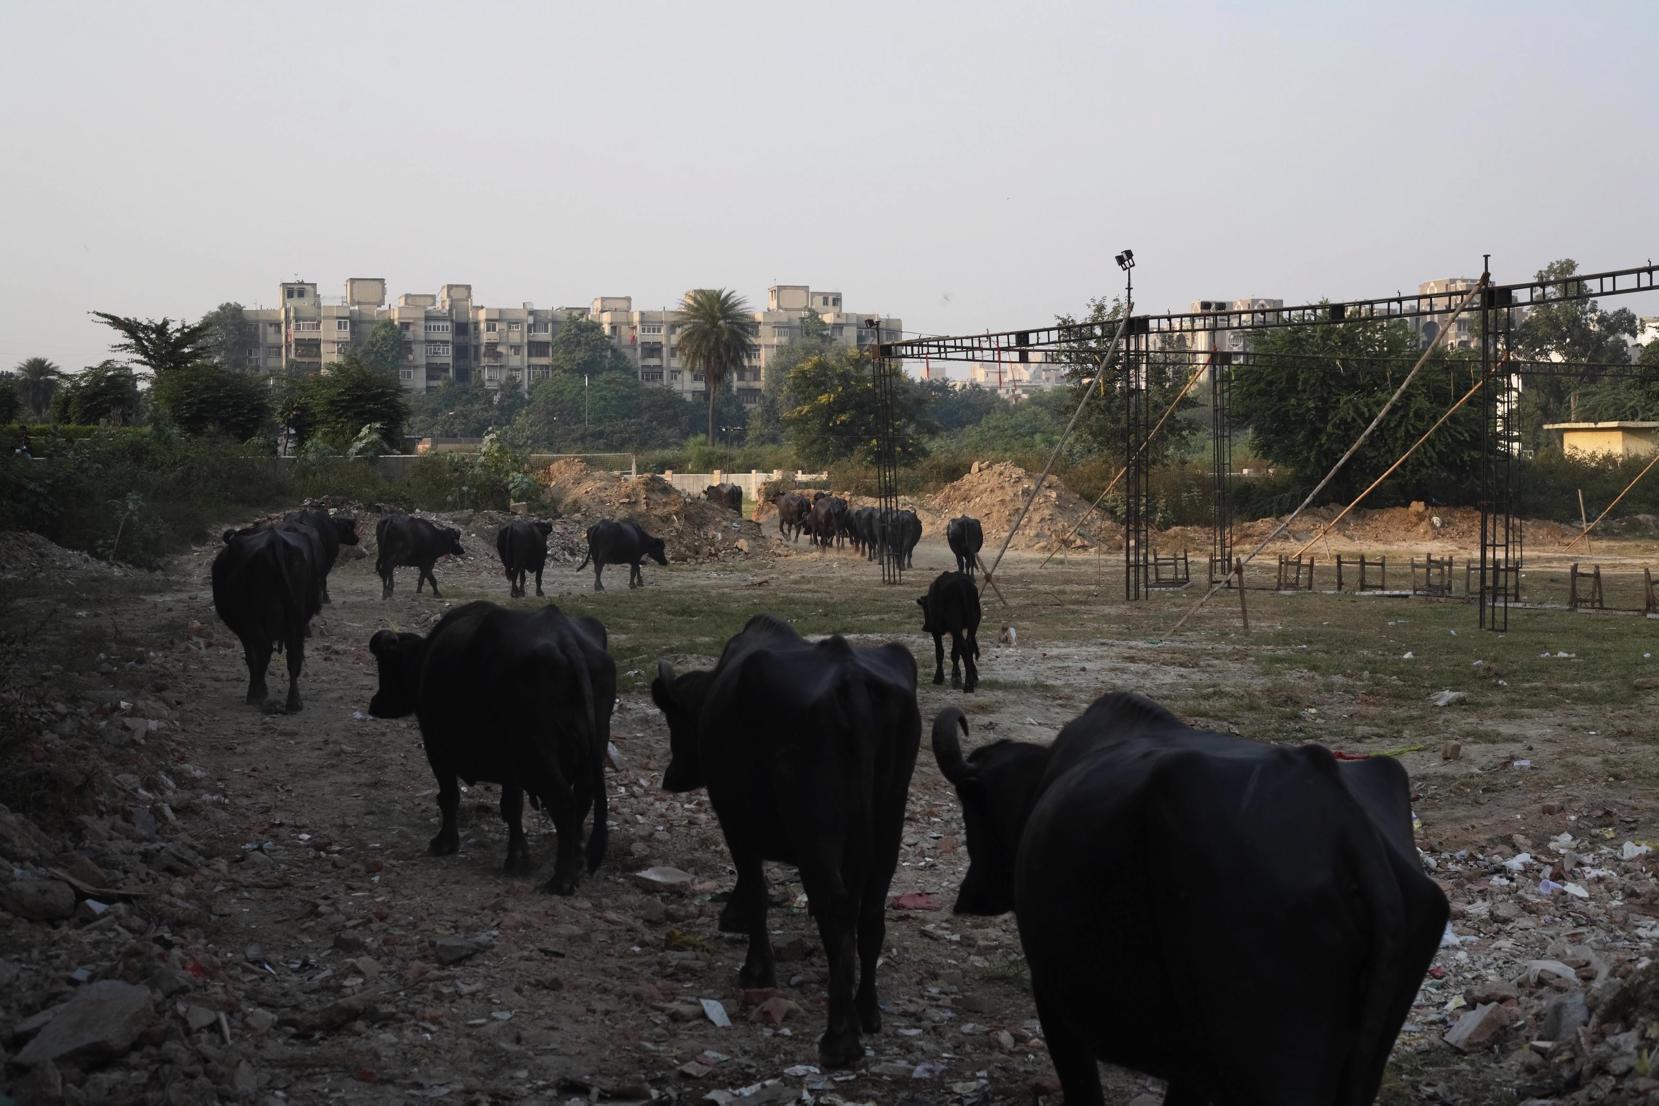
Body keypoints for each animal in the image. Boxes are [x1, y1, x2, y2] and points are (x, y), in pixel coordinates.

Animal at [210, 527, 320, 713]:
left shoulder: (244, 630)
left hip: (251, 619)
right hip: (297, 618)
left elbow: (250, 658)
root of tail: (275, 541)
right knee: (294, 656)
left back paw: (256, 695)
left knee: (264, 649)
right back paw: (294, 702)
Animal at [368, 600, 617, 895]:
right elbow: (512, 806)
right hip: (592, 743)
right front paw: (518, 857)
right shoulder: (511, 766)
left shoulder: (436, 749)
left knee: (564, 802)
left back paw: (562, 880)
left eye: (385, 665)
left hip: (538, 751)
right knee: (582, 797)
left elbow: (449, 796)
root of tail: (567, 640)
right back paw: (576, 862)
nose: (375, 705)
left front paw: (444, 843)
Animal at [653, 620, 929, 1067]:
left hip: (814, 821)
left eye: (676, 721)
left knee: (837, 909)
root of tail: (850, 680)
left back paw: (840, 1038)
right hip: (890, 815)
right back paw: (866, 1011)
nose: (672, 776)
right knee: (868, 911)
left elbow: (755, 888)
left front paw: (755, 968)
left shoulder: (734, 818)